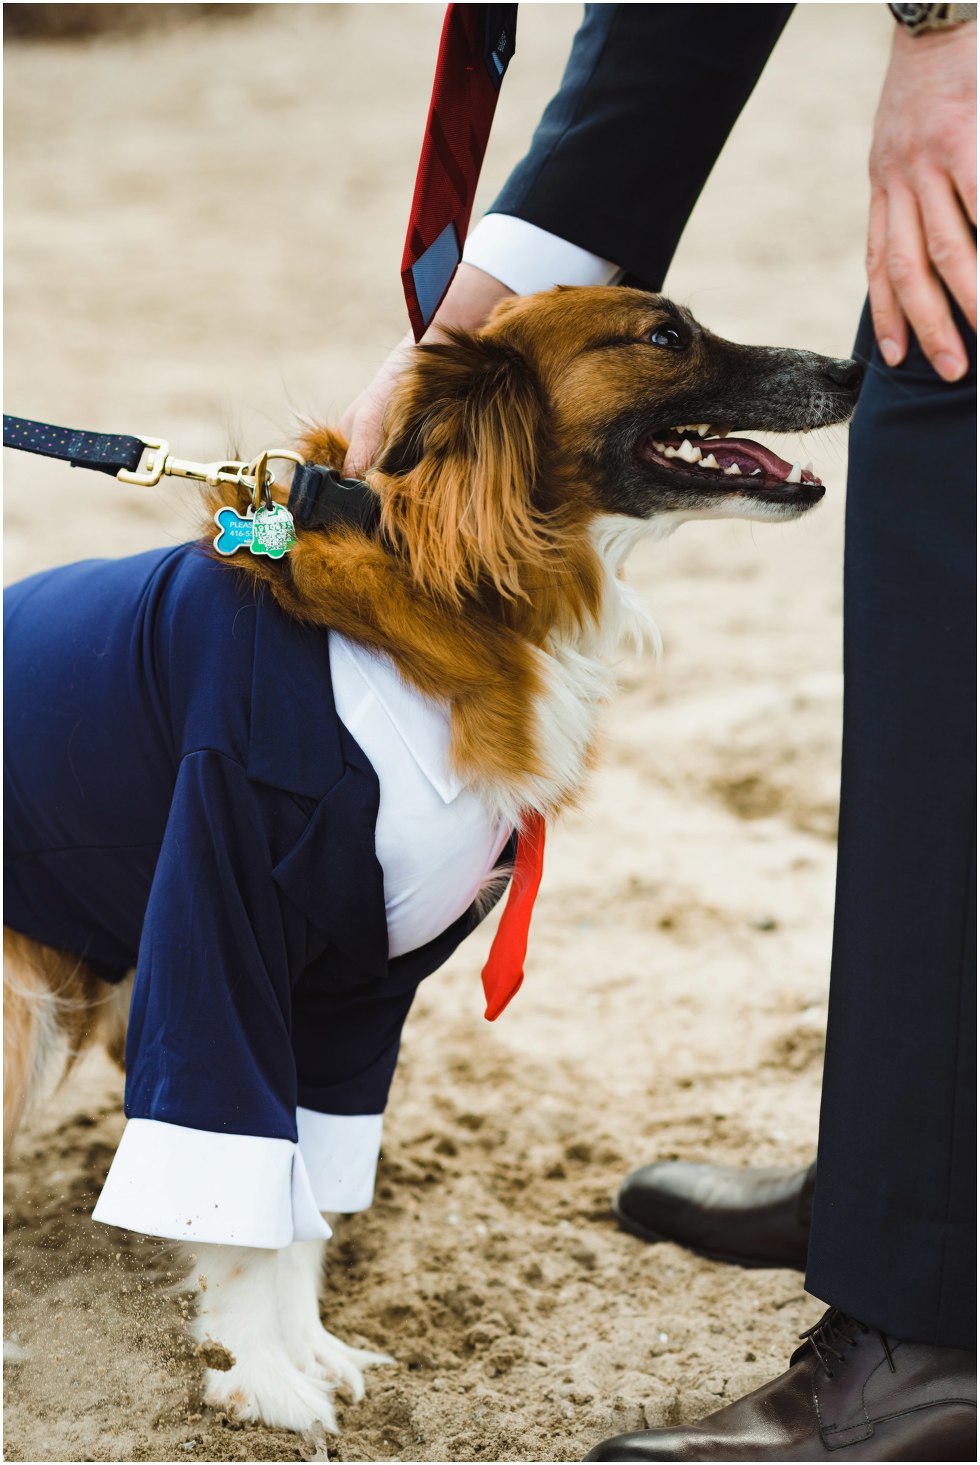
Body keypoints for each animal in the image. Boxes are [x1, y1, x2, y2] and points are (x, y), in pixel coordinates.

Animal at [0, 285, 855, 1429]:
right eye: (664, 335)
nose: (856, 370)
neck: (454, 587)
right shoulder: (220, 914)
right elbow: (235, 1175)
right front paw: (266, 1377)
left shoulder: (355, 987)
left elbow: (300, 1199)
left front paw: (308, 1349)